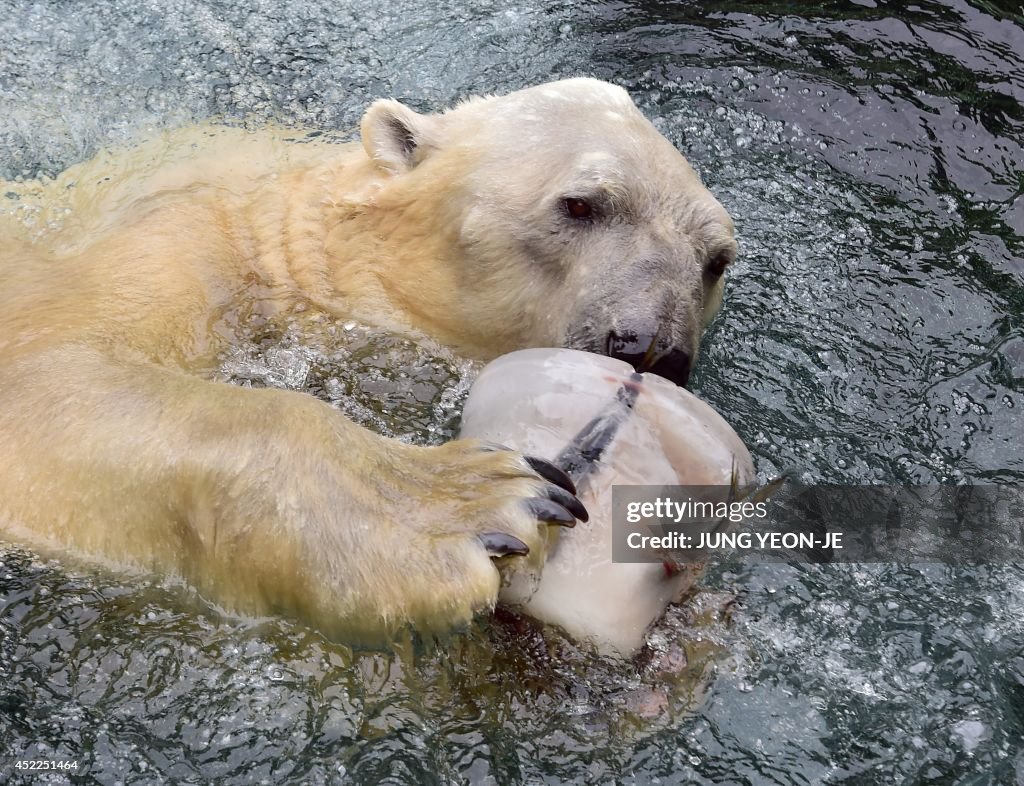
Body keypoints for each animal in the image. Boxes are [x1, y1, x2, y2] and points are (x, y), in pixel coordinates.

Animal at [0, 79, 737, 642]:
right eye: (580, 203)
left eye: (717, 258)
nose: (653, 349)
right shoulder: (174, 236)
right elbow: (50, 369)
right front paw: (467, 502)